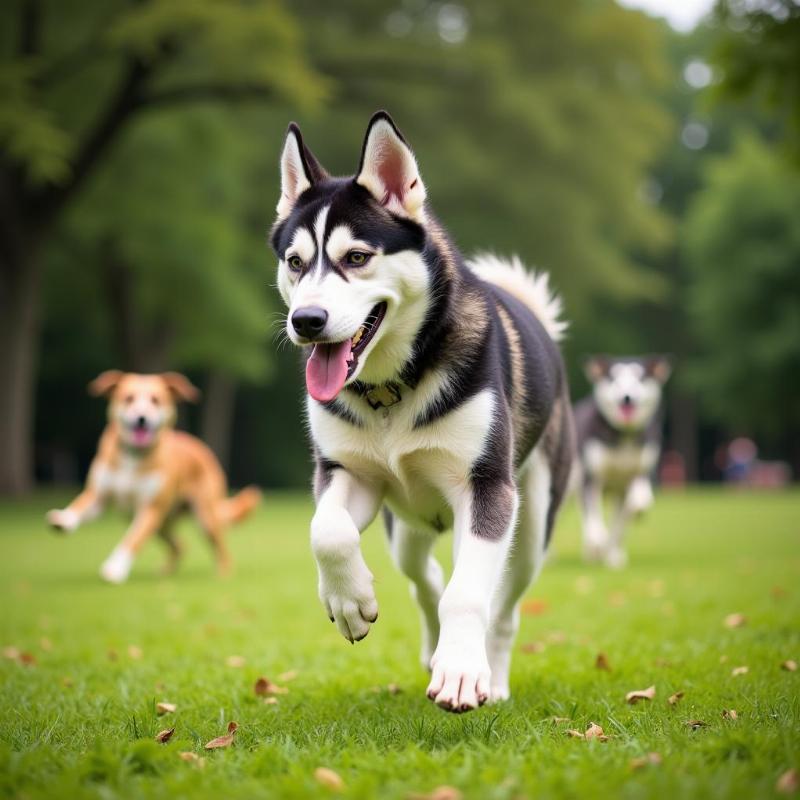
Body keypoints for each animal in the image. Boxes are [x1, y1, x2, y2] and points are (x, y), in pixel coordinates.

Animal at [46, 368, 262, 580]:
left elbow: (132, 539)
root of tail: (199, 446)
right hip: (160, 523)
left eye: (156, 400)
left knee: (221, 549)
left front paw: (115, 568)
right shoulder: (98, 495)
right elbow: (79, 506)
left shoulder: (150, 508)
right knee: (180, 545)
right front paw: (63, 520)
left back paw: (222, 575)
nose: (142, 418)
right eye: (128, 398)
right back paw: (166, 572)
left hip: (203, 516)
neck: (133, 457)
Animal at [270, 112, 576, 712]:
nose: (306, 321)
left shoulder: (486, 489)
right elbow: (327, 531)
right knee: (424, 577)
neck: (393, 390)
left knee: (500, 605)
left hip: (530, 525)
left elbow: (468, 595)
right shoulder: (346, 474)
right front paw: (348, 601)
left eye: (356, 258)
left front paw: (461, 673)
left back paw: (491, 677)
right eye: (295, 263)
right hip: (406, 527)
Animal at [572, 356, 672, 568]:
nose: (627, 397)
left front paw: (613, 556)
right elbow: (594, 516)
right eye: (614, 380)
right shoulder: (590, 478)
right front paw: (599, 540)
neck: (624, 436)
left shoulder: (636, 473)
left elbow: (629, 512)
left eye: (640, 379)